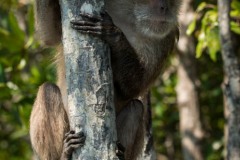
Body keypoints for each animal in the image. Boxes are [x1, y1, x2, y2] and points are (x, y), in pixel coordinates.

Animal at [29, 0, 180, 159]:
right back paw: (64, 154)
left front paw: (111, 33)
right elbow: (50, 35)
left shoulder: (165, 39)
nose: (164, 8)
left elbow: (135, 87)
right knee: (48, 90)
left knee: (136, 107)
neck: (132, 18)